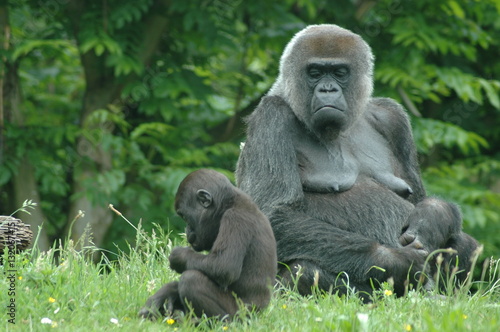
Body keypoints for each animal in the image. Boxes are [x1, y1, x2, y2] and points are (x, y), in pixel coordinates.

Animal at [138, 169, 278, 320]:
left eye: (185, 217)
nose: (187, 231)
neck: (230, 203)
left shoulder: (235, 219)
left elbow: (224, 266)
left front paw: (179, 257)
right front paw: (165, 293)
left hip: (242, 314)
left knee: (191, 280)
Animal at [236, 24, 478, 296]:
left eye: (339, 73)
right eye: (315, 73)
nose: (328, 89)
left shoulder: (393, 117)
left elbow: (418, 199)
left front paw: (431, 218)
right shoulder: (271, 116)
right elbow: (273, 213)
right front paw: (399, 261)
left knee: (463, 242)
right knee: (306, 271)